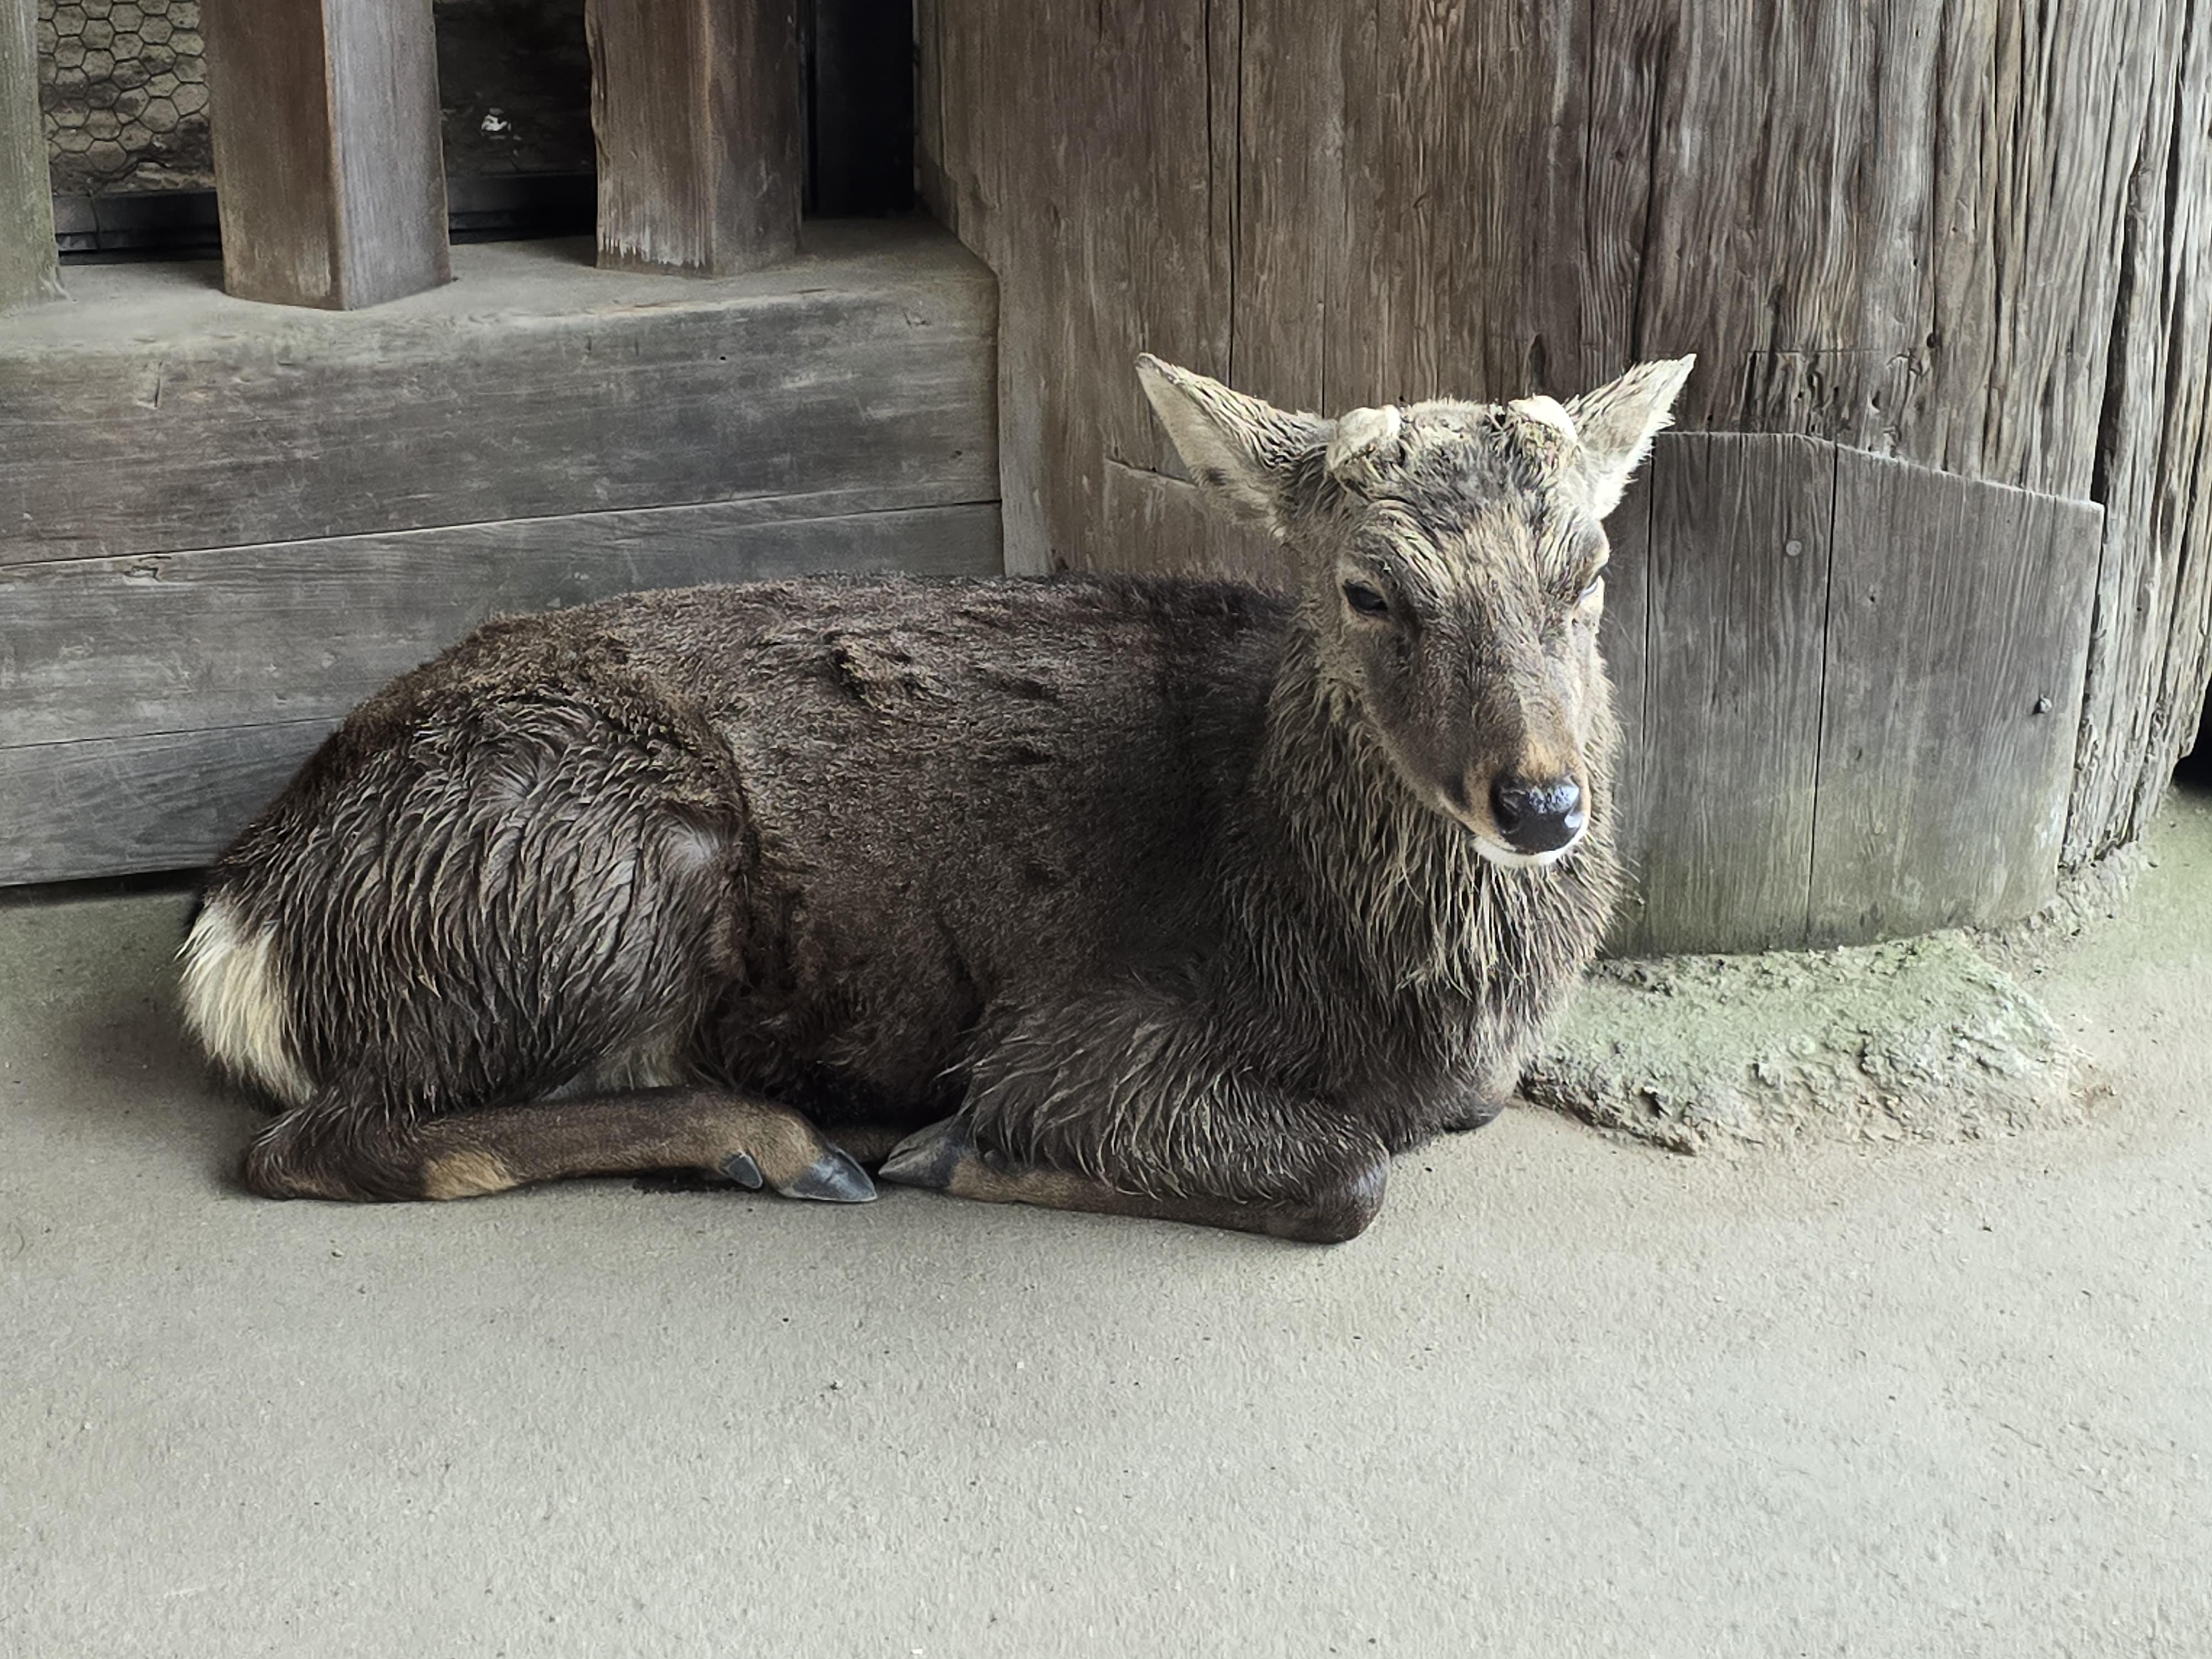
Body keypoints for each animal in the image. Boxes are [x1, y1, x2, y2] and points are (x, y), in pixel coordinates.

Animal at [186, 352, 1690, 1239]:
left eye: (1588, 569)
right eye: (1368, 590)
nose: (1542, 803)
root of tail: (234, 938)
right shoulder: (1077, 1028)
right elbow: (1348, 1173)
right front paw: (953, 1148)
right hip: (592, 875)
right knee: (320, 1142)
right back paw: (786, 1146)